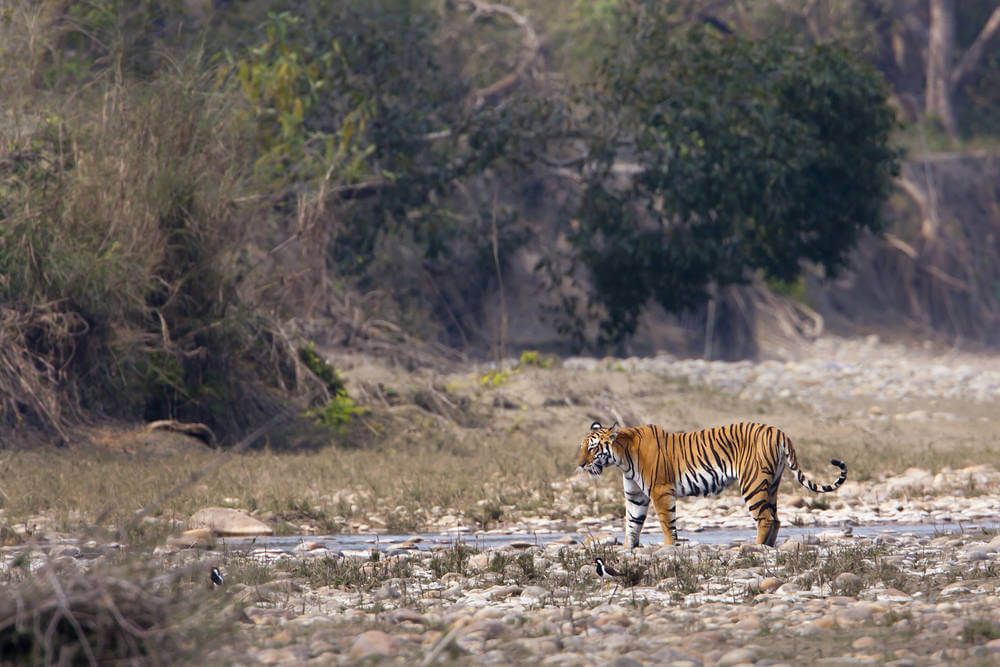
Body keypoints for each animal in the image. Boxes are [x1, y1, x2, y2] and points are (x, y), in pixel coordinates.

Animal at [576, 422, 848, 548]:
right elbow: (632, 524)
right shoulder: (635, 495)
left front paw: (668, 547)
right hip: (772, 484)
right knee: (776, 518)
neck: (622, 459)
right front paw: (628, 549)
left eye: (592, 448)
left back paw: (755, 547)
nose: (580, 465)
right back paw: (767, 547)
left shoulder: (660, 491)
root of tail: (779, 431)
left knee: (765, 518)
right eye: (582, 447)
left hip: (752, 483)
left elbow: (666, 523)